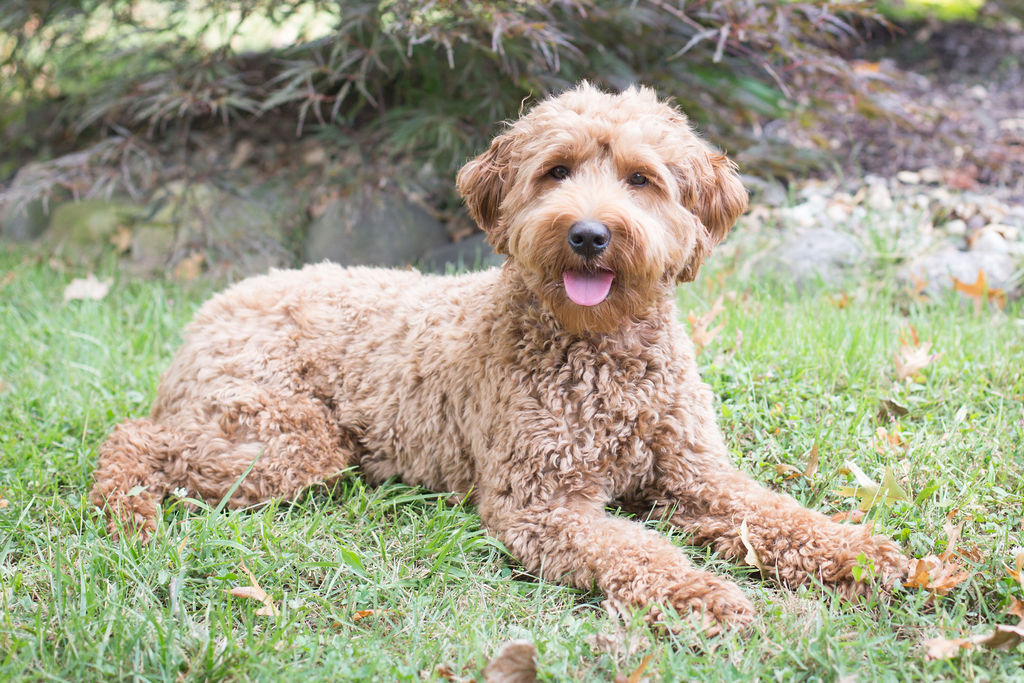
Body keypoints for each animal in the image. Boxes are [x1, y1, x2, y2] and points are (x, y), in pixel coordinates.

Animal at [94, 82, 913, 634]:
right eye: (556, 170)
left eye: (641, 179)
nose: (588, 233)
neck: (599, 352)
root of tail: (214, 306)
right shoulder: (540, 502)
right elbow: (639, 551)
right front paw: (704, 596)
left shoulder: (697, 474)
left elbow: (781, 515)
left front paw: (865, 556)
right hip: (286, 433)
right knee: (131, 437)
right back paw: (126, 513)